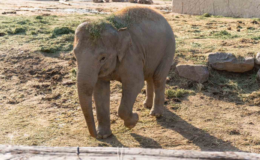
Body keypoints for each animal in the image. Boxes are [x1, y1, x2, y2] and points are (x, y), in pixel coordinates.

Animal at [72, 6, 176, 139]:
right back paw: (146, 105)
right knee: (149, 77)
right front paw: (104, 135)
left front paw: (133, 121)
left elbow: (135, 84)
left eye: (103, 58)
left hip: (168, 48)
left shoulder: (131, 56)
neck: (116, 30)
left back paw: (155, 114)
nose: (95, 136)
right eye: (75, 55)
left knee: (158, 77)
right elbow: (100, 90)